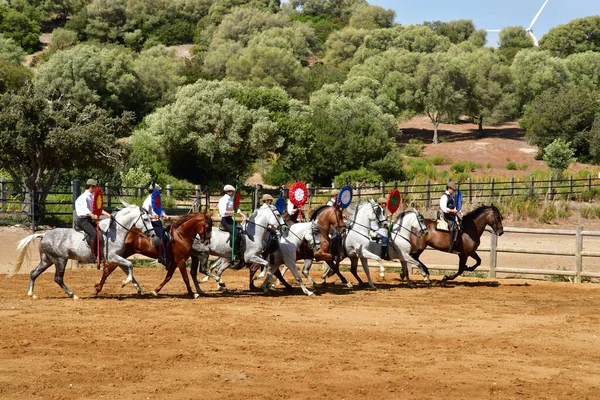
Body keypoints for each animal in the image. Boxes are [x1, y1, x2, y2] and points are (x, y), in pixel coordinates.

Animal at [9, 203, 155, 300]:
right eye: (146, 219)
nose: (153, 235)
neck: (114, 232)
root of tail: (44, 234)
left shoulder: (117, 258)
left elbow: (128, 269)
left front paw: (138, 289)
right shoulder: (113, 257)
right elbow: (130, 265)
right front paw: (125, 283)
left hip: (47, 260)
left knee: (34, 273)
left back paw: (31, 294)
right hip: (60, 260)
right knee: (58, 278)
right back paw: (73, 295)